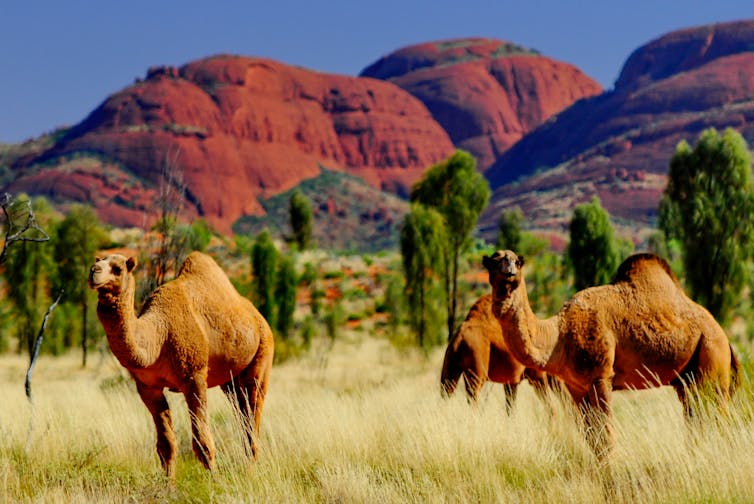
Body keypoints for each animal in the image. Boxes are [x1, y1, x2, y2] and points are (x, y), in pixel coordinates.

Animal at [88, 251, 274, 478]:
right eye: (99, 261)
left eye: (118, 269)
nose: (94, 271)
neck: (159, 335)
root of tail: (258, 317)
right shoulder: (147, 386)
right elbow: (166, 444)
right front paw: (168, 483)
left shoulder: (194, 375)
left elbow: (202, 441)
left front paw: (214, 481)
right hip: (230, 382)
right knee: (241, 413)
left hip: (262, 356)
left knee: (252, 414)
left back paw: (250, 472)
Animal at [482, 250, 739, 460]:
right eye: (494, 261)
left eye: (517, 262)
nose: (509, 272)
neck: (558, 336)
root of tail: (726, 338)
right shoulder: (576, 387)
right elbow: (591, 438)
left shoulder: (601, 377)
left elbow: (605, 437)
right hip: (687, 379)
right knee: (696, 418)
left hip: (712, 359)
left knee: (718, 418)